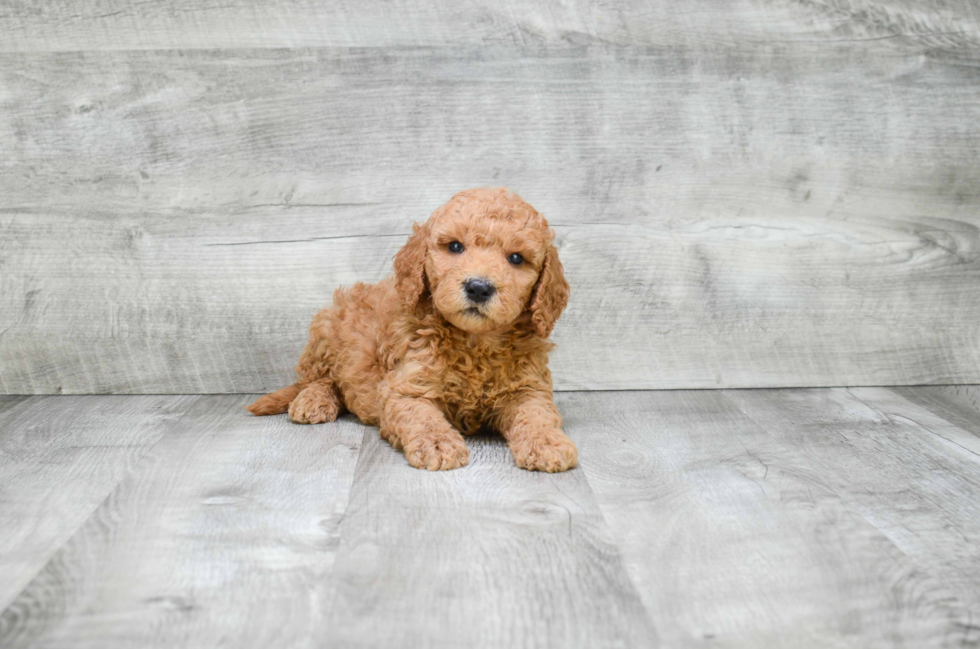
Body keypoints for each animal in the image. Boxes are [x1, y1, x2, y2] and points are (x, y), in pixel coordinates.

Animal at [249, 187, 580, 470]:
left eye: (516, 258)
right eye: (455, 246)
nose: (478, 287)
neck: (475, 342)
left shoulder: (528, 387)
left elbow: (536, 414)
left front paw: (547, 443)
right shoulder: (405, 388)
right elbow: (421, 417)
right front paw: (438, 444)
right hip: (326, 329)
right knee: (318, 379)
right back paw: (313, 401)